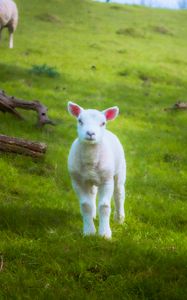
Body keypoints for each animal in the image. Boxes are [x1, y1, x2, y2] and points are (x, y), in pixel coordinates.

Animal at [67, 102, 125, 238]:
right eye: (80, 120)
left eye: (103, 123)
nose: (90, 133)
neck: (90, 162)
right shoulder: (77, 181)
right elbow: (85, 205)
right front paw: (89, 231)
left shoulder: (107, 181)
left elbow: (104, 206)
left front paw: (105, 233)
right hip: (90, 179)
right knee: (92, 194)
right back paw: (93, 216)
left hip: (119, 171)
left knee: (119, 194)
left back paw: (119, 219)